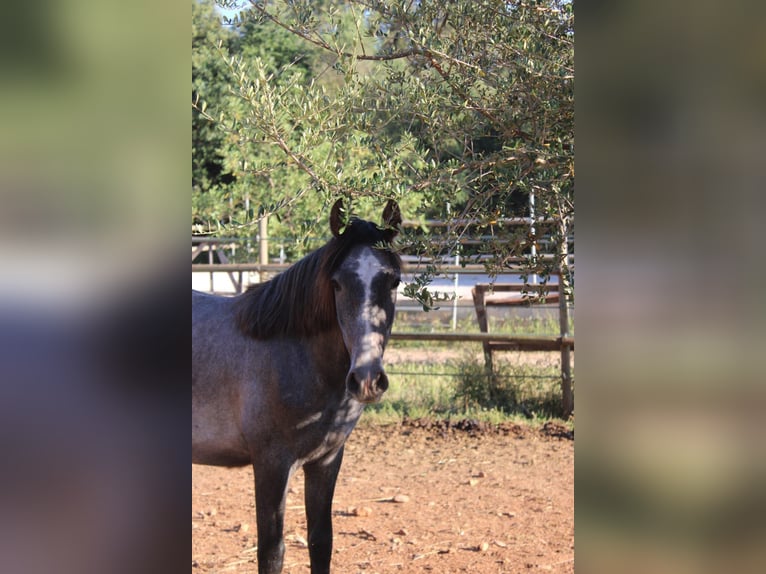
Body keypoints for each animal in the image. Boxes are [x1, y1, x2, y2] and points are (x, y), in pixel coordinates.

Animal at [192, 200, 402, 574]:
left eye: (393, 281)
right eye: (337, 284)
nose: (366, 379)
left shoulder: (326, 460)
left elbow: (321, 542)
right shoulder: (272, 464)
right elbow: (272, 551)